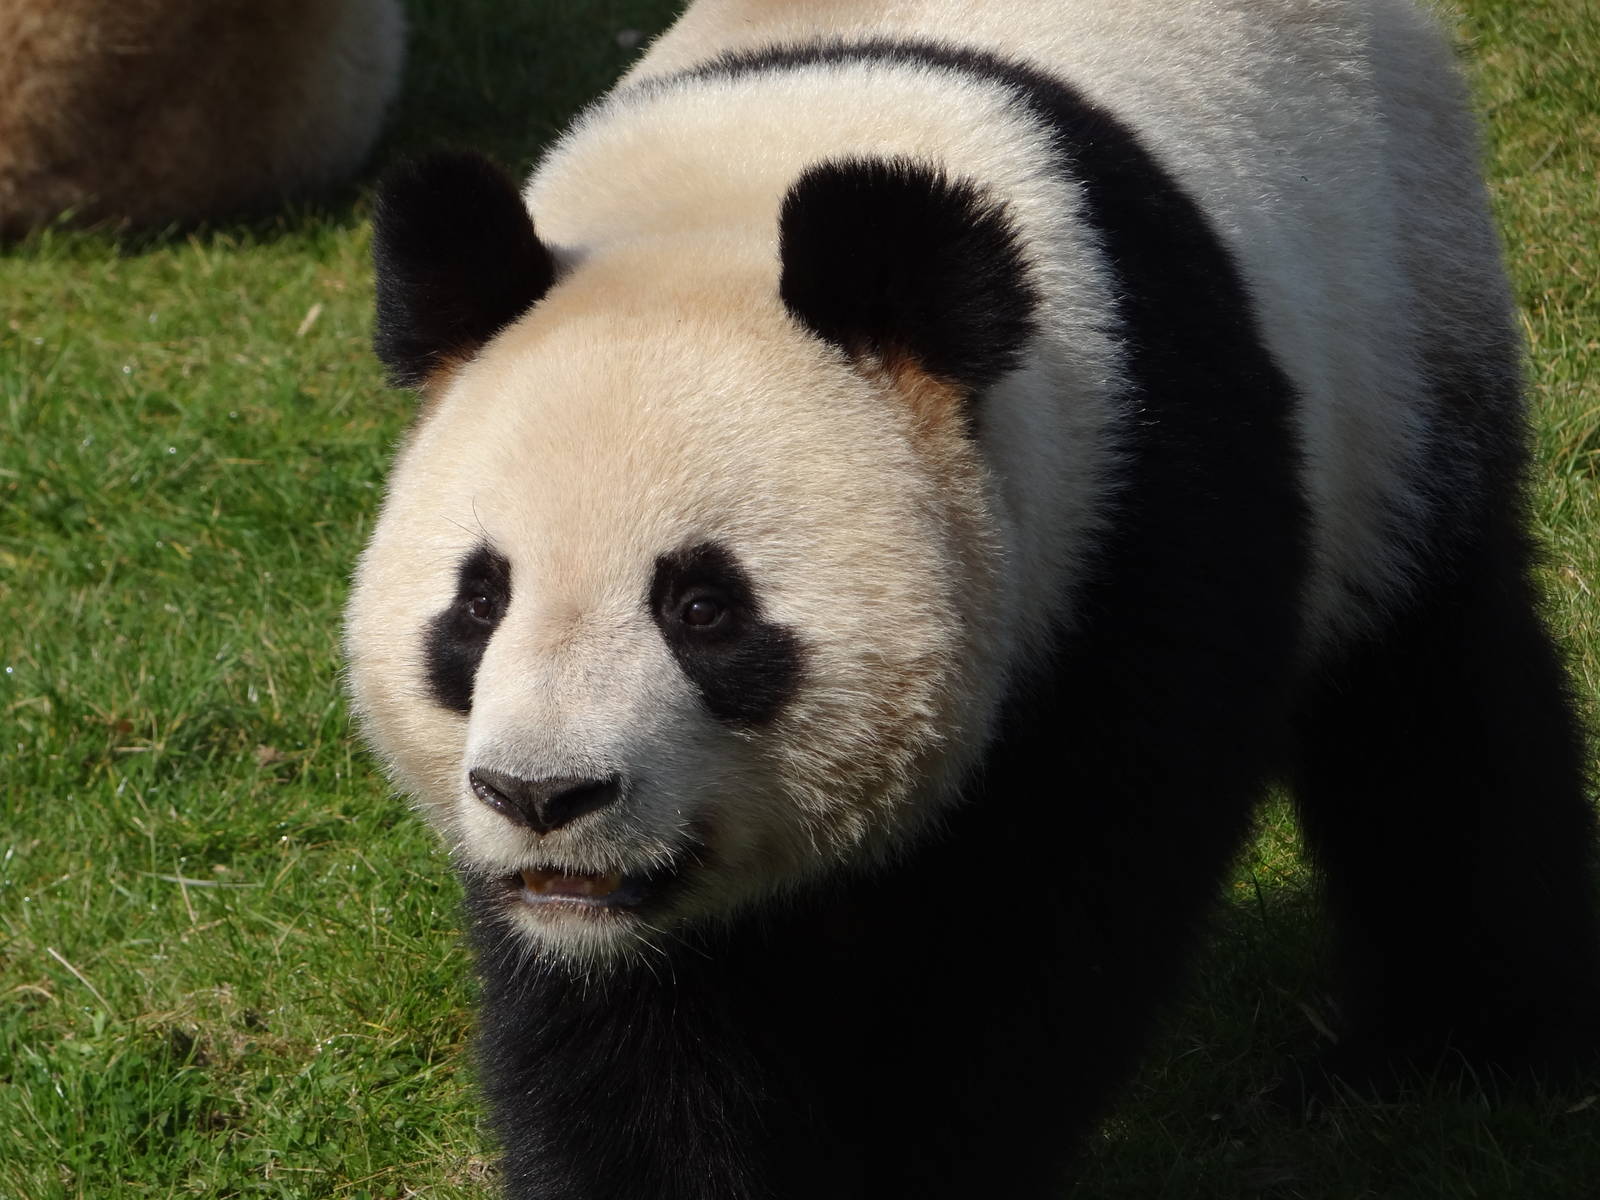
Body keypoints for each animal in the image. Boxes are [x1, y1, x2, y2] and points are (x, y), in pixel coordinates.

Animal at [344, 1, 1600, 1196]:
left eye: (704, 608)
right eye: (478, 604)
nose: (541, 795)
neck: (737, 187)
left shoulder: (1130, 524)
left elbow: (1031, 947)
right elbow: (633, 1045)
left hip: (1401, 306)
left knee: (1427, 697)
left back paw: (1446, 1053)